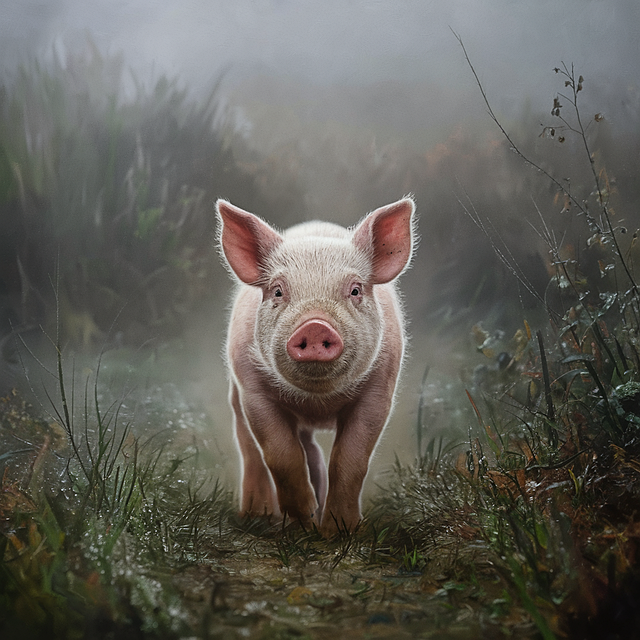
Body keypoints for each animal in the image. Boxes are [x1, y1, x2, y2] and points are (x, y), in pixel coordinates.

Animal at [217, 197, 416, 537]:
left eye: (355, 290)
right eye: (278, 291)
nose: (315, 326)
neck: (318, 401)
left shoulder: (380, 389)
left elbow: (350, 459)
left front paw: (339, 532)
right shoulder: (252, 389)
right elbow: (281, 454)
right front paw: (303, 527)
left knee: (312, 451)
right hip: (235, 394)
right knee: (251, 447)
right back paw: (259, 516)